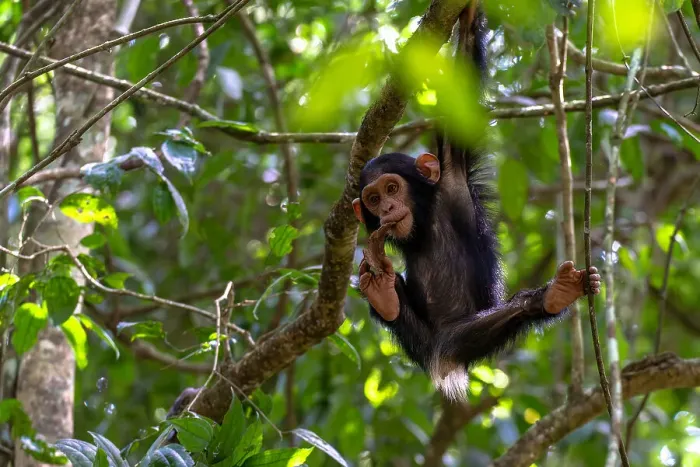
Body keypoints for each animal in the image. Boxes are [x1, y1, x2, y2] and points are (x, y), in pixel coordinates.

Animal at [352, 5, 601, 400]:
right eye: (374, 199)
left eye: (391, 189)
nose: (387, 208)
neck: (424, 220)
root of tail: (446, 362)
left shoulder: (453, 173)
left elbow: (465, 63)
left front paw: (467, 14)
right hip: (428, 347)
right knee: (419, 336)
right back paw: (384, 296)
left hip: (458, 342)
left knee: (480, 329)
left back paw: (552, 296)